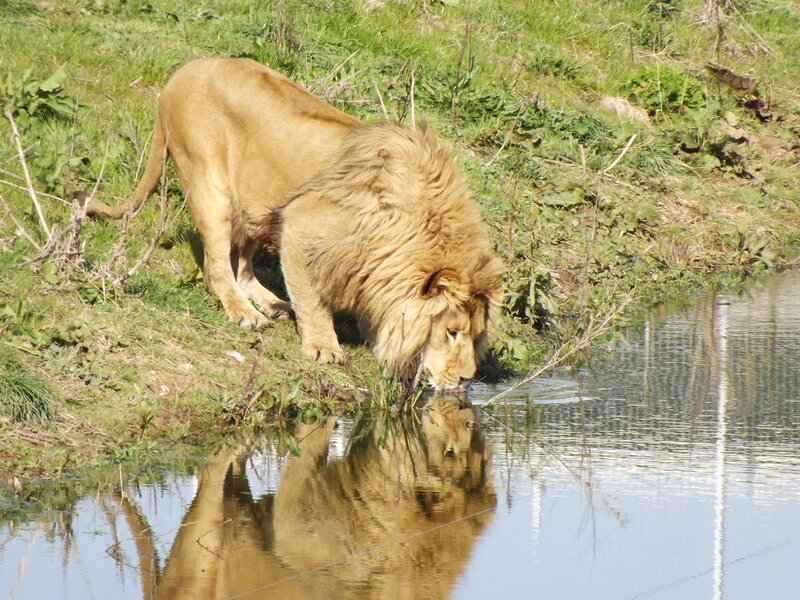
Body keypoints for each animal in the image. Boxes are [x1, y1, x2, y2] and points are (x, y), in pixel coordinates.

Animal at [84, 58, 503, 389]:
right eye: (451, 332)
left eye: (476, 337)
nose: (465, 379)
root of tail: (181, 73)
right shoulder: (300, 223)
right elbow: (311, 297)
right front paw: (323, 347)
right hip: (209, 186)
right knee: (216, 267)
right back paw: (246, 313)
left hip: (254, 205)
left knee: (242, 265)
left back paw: (272, 304)